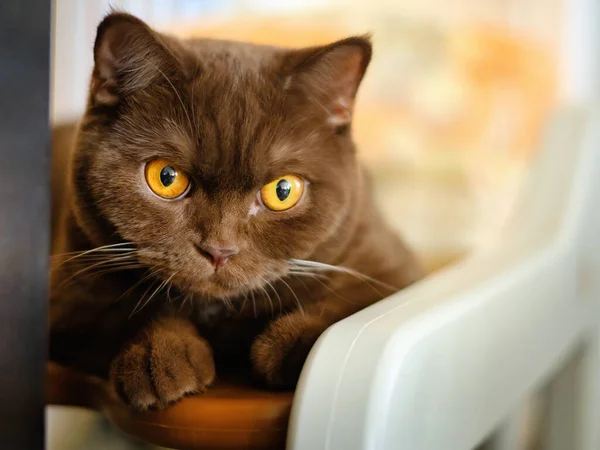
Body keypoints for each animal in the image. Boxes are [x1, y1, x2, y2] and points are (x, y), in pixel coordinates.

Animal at [51, 11, 424, 412]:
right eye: (166, 177)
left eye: (282, 191)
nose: (219, 250)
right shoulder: (68, 296)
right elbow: (128, 311)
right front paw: (159, 355)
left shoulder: (389, 265)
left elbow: (349, 300)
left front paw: (291, 345)